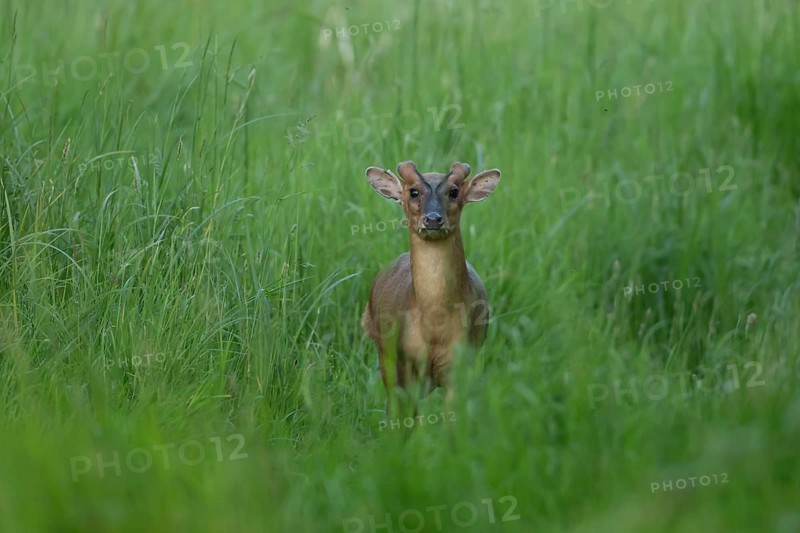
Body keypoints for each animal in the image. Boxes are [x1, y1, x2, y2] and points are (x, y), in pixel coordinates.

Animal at [361, 160, 501, 413]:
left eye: (454, 191)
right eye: (413, 191)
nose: (433, 219)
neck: (435, 325)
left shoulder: (459, 364)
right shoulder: (406, 362)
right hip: (382, 349)